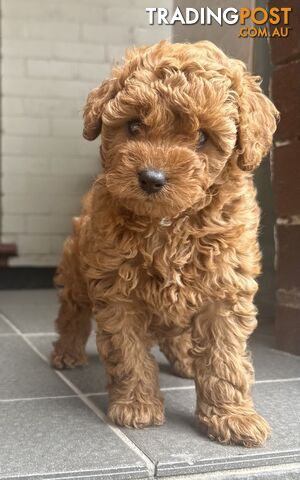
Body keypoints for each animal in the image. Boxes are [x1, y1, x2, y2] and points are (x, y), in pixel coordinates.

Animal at [51, 40, 278, 446]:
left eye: (202, 137)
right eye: (134, 125)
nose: (151, 178)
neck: (170, 224)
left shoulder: (225, 288)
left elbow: (225, 358)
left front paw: (232, 418)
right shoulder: (117, 291)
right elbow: (127, 352)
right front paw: (136, 406)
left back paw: (186, 360)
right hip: (76, 270)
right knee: (72, 312)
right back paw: (66, 353)